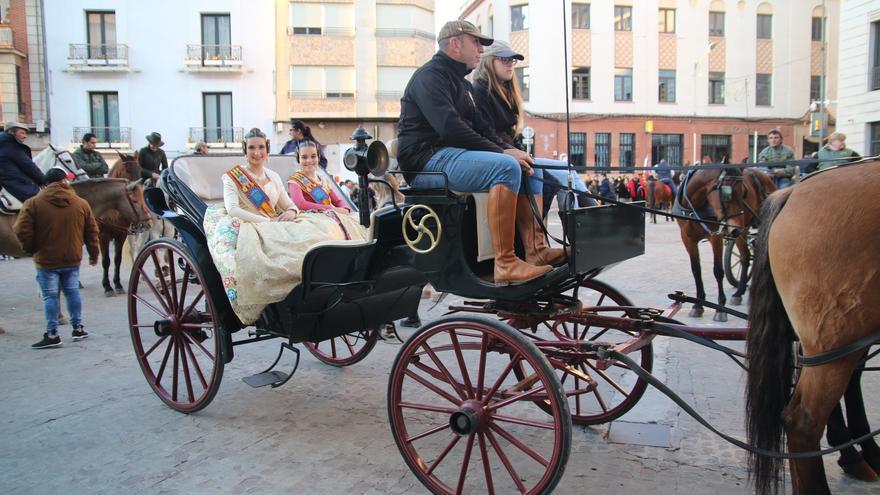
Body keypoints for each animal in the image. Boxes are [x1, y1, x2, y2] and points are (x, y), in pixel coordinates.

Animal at [676, 165, 772, 320]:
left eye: (744, 192)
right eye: (727, 194)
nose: (735, 228)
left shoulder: (716, 237)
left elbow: (718, 271)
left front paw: (720, 308)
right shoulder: (687, 239)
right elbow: (696, 270)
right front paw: (698, 305)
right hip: (742, 230)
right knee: (746, 256)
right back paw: (741, 290)